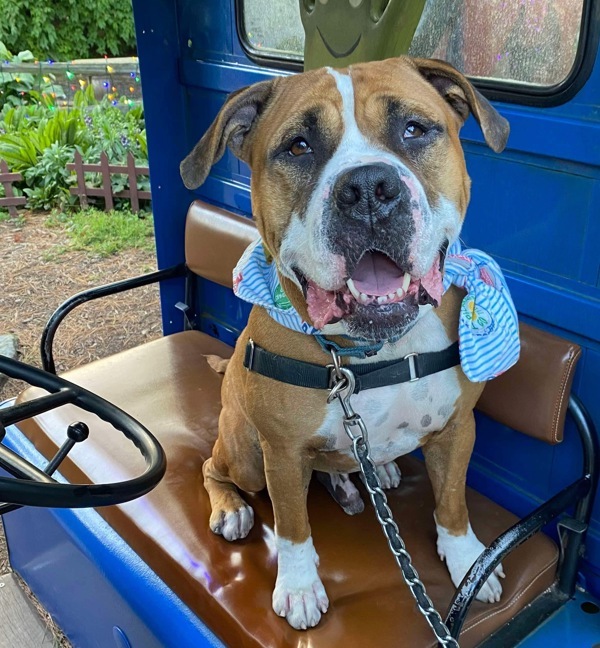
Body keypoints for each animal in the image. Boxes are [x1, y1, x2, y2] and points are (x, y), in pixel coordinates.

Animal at [179, 58, 510, 632]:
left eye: (414, 129)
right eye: (298, 146)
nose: (370, 188)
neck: (373, 353)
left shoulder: (457, 428)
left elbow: (452, 501)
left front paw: (469, 561)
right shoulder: (283, 451)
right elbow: (292, 526)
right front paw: (299, 587)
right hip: (246, 454)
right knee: (213, 467)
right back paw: (233, 507)